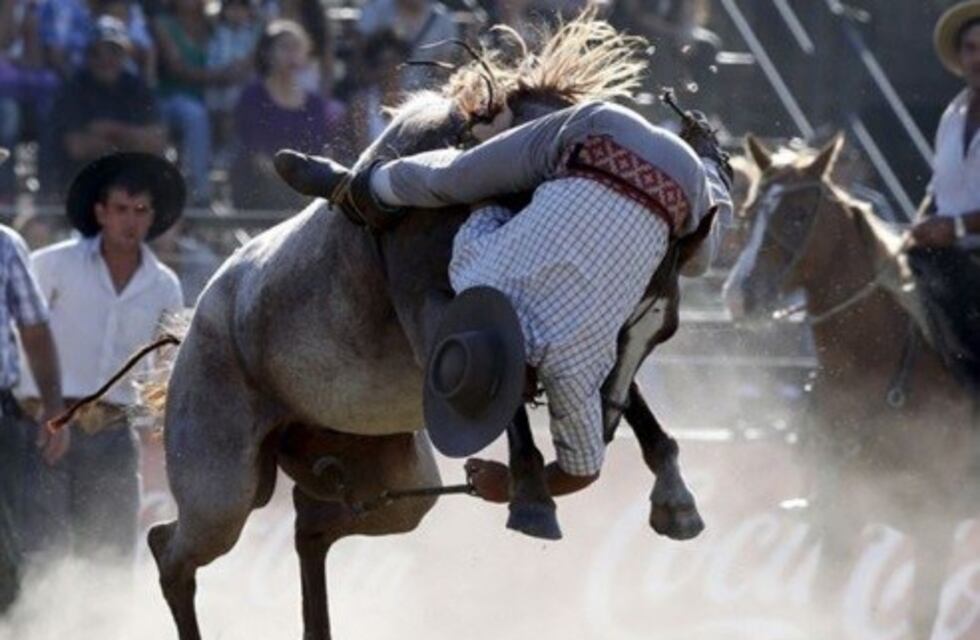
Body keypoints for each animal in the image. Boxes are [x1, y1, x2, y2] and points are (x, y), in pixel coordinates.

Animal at [146, 17, 707, 640]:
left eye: (664, 330)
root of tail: (191, 331)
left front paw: (673, 497)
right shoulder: (437, 316)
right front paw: (532, 496)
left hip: (391, 481)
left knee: (311, 525)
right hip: (221, 491)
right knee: (171, 551)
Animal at [723, 135, 978, 639]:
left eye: (799, 215)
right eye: (748, 211)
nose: (741, 295)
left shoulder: (935, 525)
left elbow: (921, 619)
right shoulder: (840, 518)